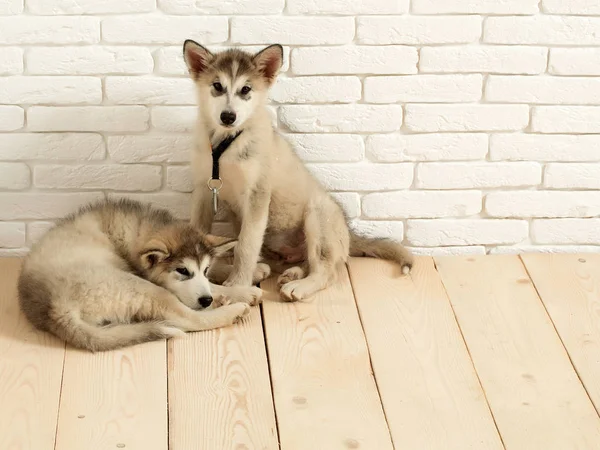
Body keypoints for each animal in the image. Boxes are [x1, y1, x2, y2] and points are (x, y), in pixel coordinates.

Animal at [18, 200, 268, 352]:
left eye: (204, 269)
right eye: (182, 271)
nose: (205, 300)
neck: (132, 233)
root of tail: (53, 309)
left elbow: (214, 276)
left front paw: (253, 271)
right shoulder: (149, 277)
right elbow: (211, 290)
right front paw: (242, 292)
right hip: (138, 286)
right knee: (190, 319)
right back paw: (233, 310)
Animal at [183, 41, 414, 302]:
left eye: (245, 89)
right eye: (217, 86)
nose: (228, 116)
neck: (227, 144)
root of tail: (348, 232)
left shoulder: (257, 195)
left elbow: (246, 246)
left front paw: (237, 285)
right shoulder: (204, 189)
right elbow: (200, 236)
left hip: (317, 215)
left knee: (327, 270)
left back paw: (299, 286)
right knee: (308, 263)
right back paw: (291, 273)